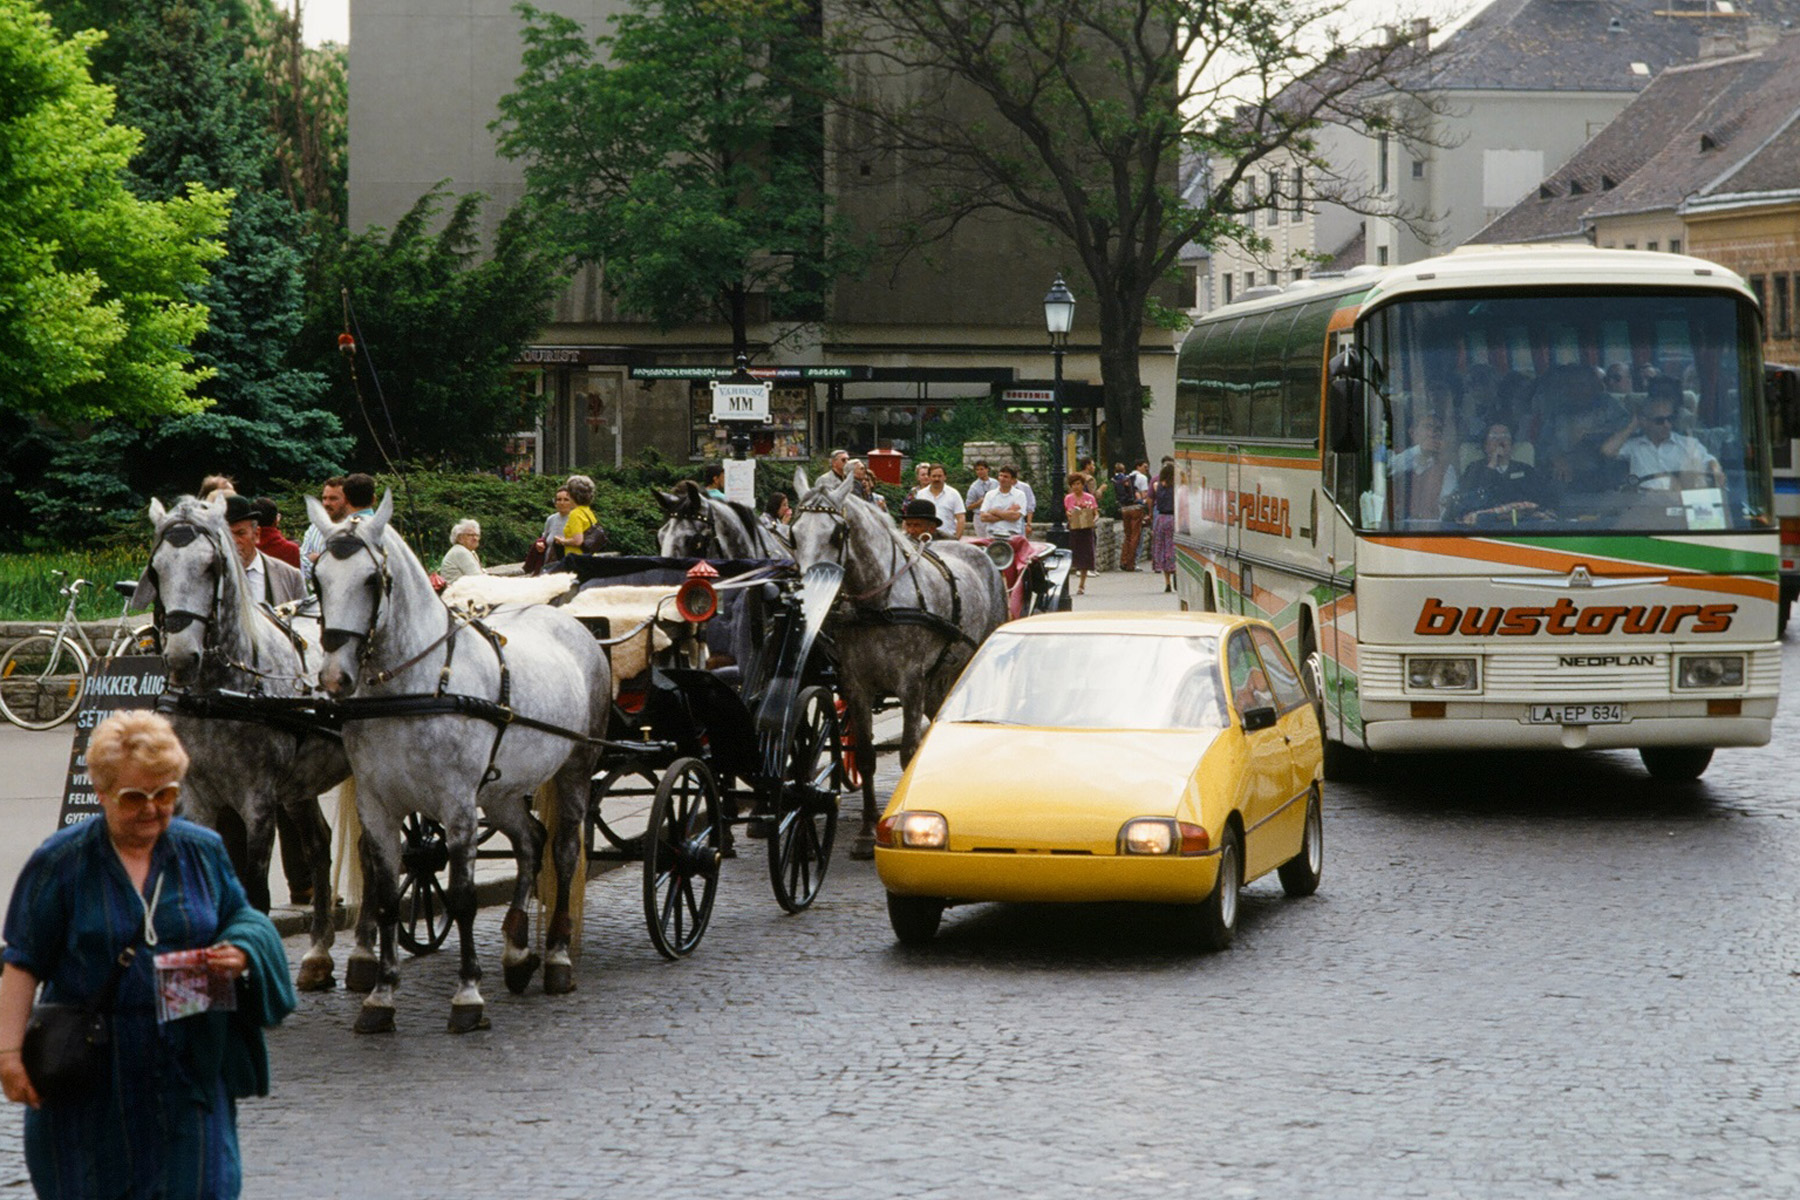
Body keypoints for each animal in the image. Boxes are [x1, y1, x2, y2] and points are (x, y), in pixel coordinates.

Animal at [142, 496, 349, 993]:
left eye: (211, 565)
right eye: (156, 569)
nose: (181, 655)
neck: (220, 691)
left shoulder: (257, 799)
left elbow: (254, 889)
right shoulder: (198, 797)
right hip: (299, 785)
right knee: (319, 844)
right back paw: (318, 953)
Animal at [307, 492, 612, 1036]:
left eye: (371, 581)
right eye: (318, 579)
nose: (334, 677)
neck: (415, 688)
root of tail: (570, 622)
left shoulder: (457, 806)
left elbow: (464, 897)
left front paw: (468, 995)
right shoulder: (378, 805)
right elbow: (387, 899)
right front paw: (381, 996)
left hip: (576, 767)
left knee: (563, 849)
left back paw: (556, 956)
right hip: (502, 790)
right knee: (531, 840)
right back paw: (517, 950)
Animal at [792, 467, 1015, 852]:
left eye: (837, 533)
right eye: (793, 533)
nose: (808, 597)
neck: (878, 603)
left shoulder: (910, 681)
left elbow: (909, 753)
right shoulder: (856, 684)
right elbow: (866, 755)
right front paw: (867, 830)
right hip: (940, 677)